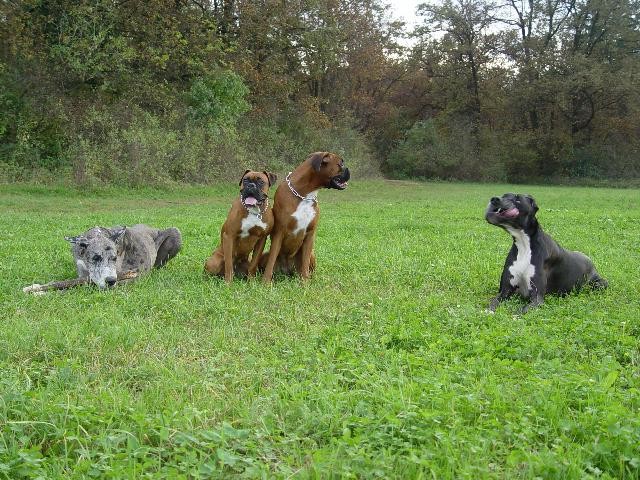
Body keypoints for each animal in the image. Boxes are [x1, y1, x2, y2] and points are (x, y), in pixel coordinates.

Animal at [260, 153, 350, 282]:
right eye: (340, 164)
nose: (348, 169)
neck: (304, 194)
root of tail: (287, 270)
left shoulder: (310, 235)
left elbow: (305, 263)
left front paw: (305, 282)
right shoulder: (279, 233)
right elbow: (271, 260)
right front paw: (266, 281)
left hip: (312, 254)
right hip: (264, 255)